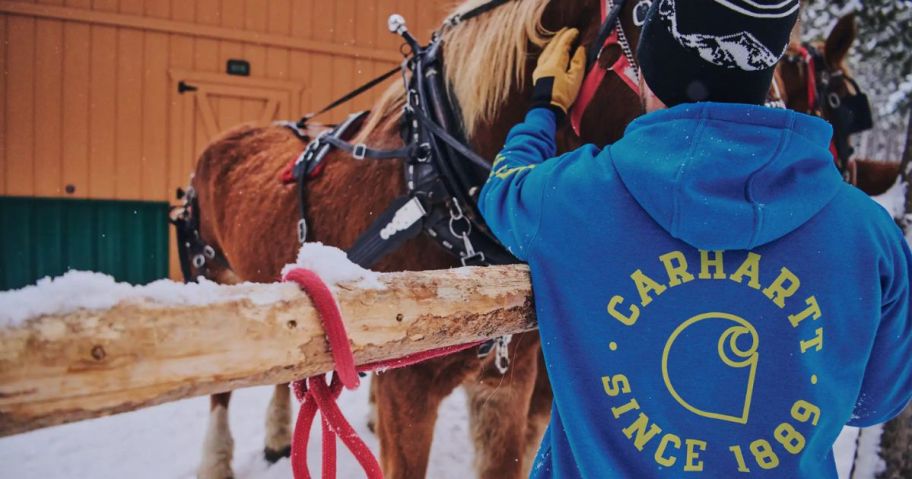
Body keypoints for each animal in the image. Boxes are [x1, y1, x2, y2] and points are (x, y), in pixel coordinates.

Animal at [182, 0, 644, 479]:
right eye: (646, 16)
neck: (436, 178)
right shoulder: (407, 385)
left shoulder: (509, 380)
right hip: (213, 278)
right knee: (220, 388)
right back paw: (216, 460)